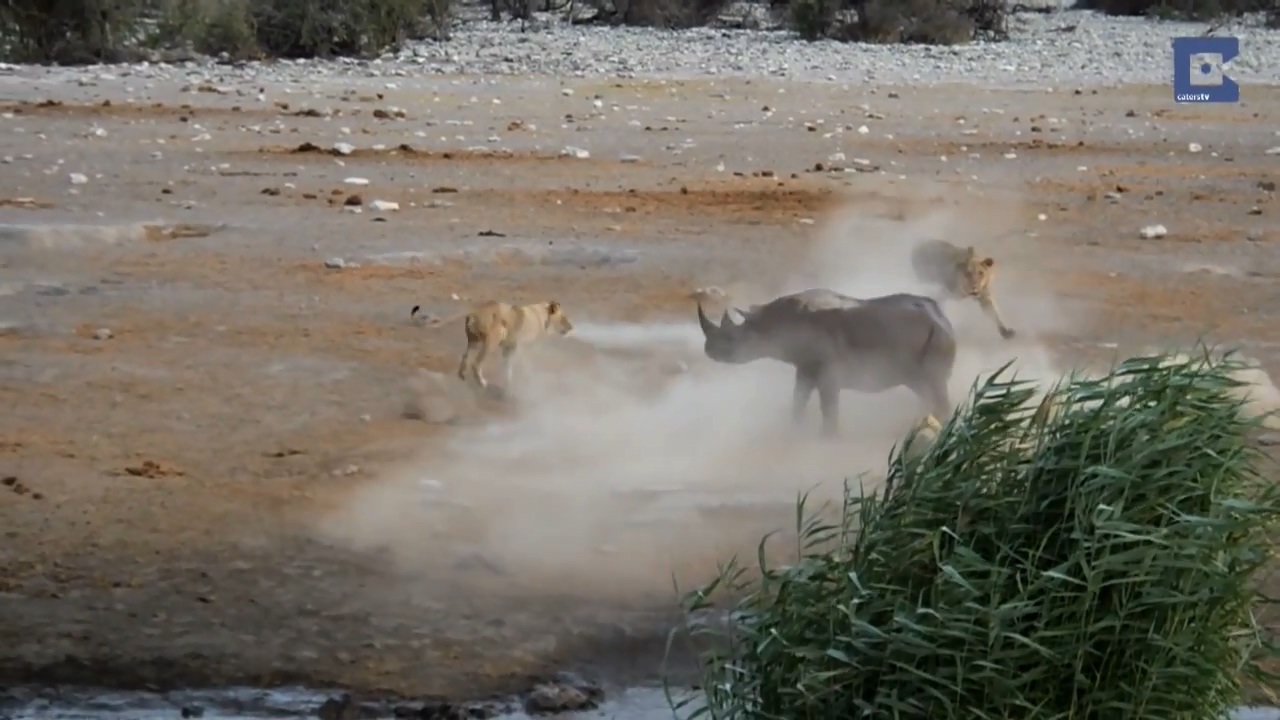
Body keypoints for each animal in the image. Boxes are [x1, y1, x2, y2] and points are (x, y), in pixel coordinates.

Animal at [410, 300, 574, 393]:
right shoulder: (520, 348)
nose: (571, 328)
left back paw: (462, 378)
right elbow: (524, 366)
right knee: (476, 364)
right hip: (492, 340)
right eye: (564, 318)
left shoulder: (509, 349)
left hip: (473, 341)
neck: (542, 316)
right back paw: (482, 383)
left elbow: (508, 367)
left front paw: (509, 383)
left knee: (465, 359)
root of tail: (477, 308)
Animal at [696, 288, 956, 436]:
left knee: (934, 383)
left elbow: (828, 407)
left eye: (731, 340)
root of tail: (943, 318)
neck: (770, 325)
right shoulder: (805, 366)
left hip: (936, 337)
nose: (708, 350)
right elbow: (798, 400)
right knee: (922, 387)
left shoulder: (828, 369)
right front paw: (796, 431)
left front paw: (828, 438)